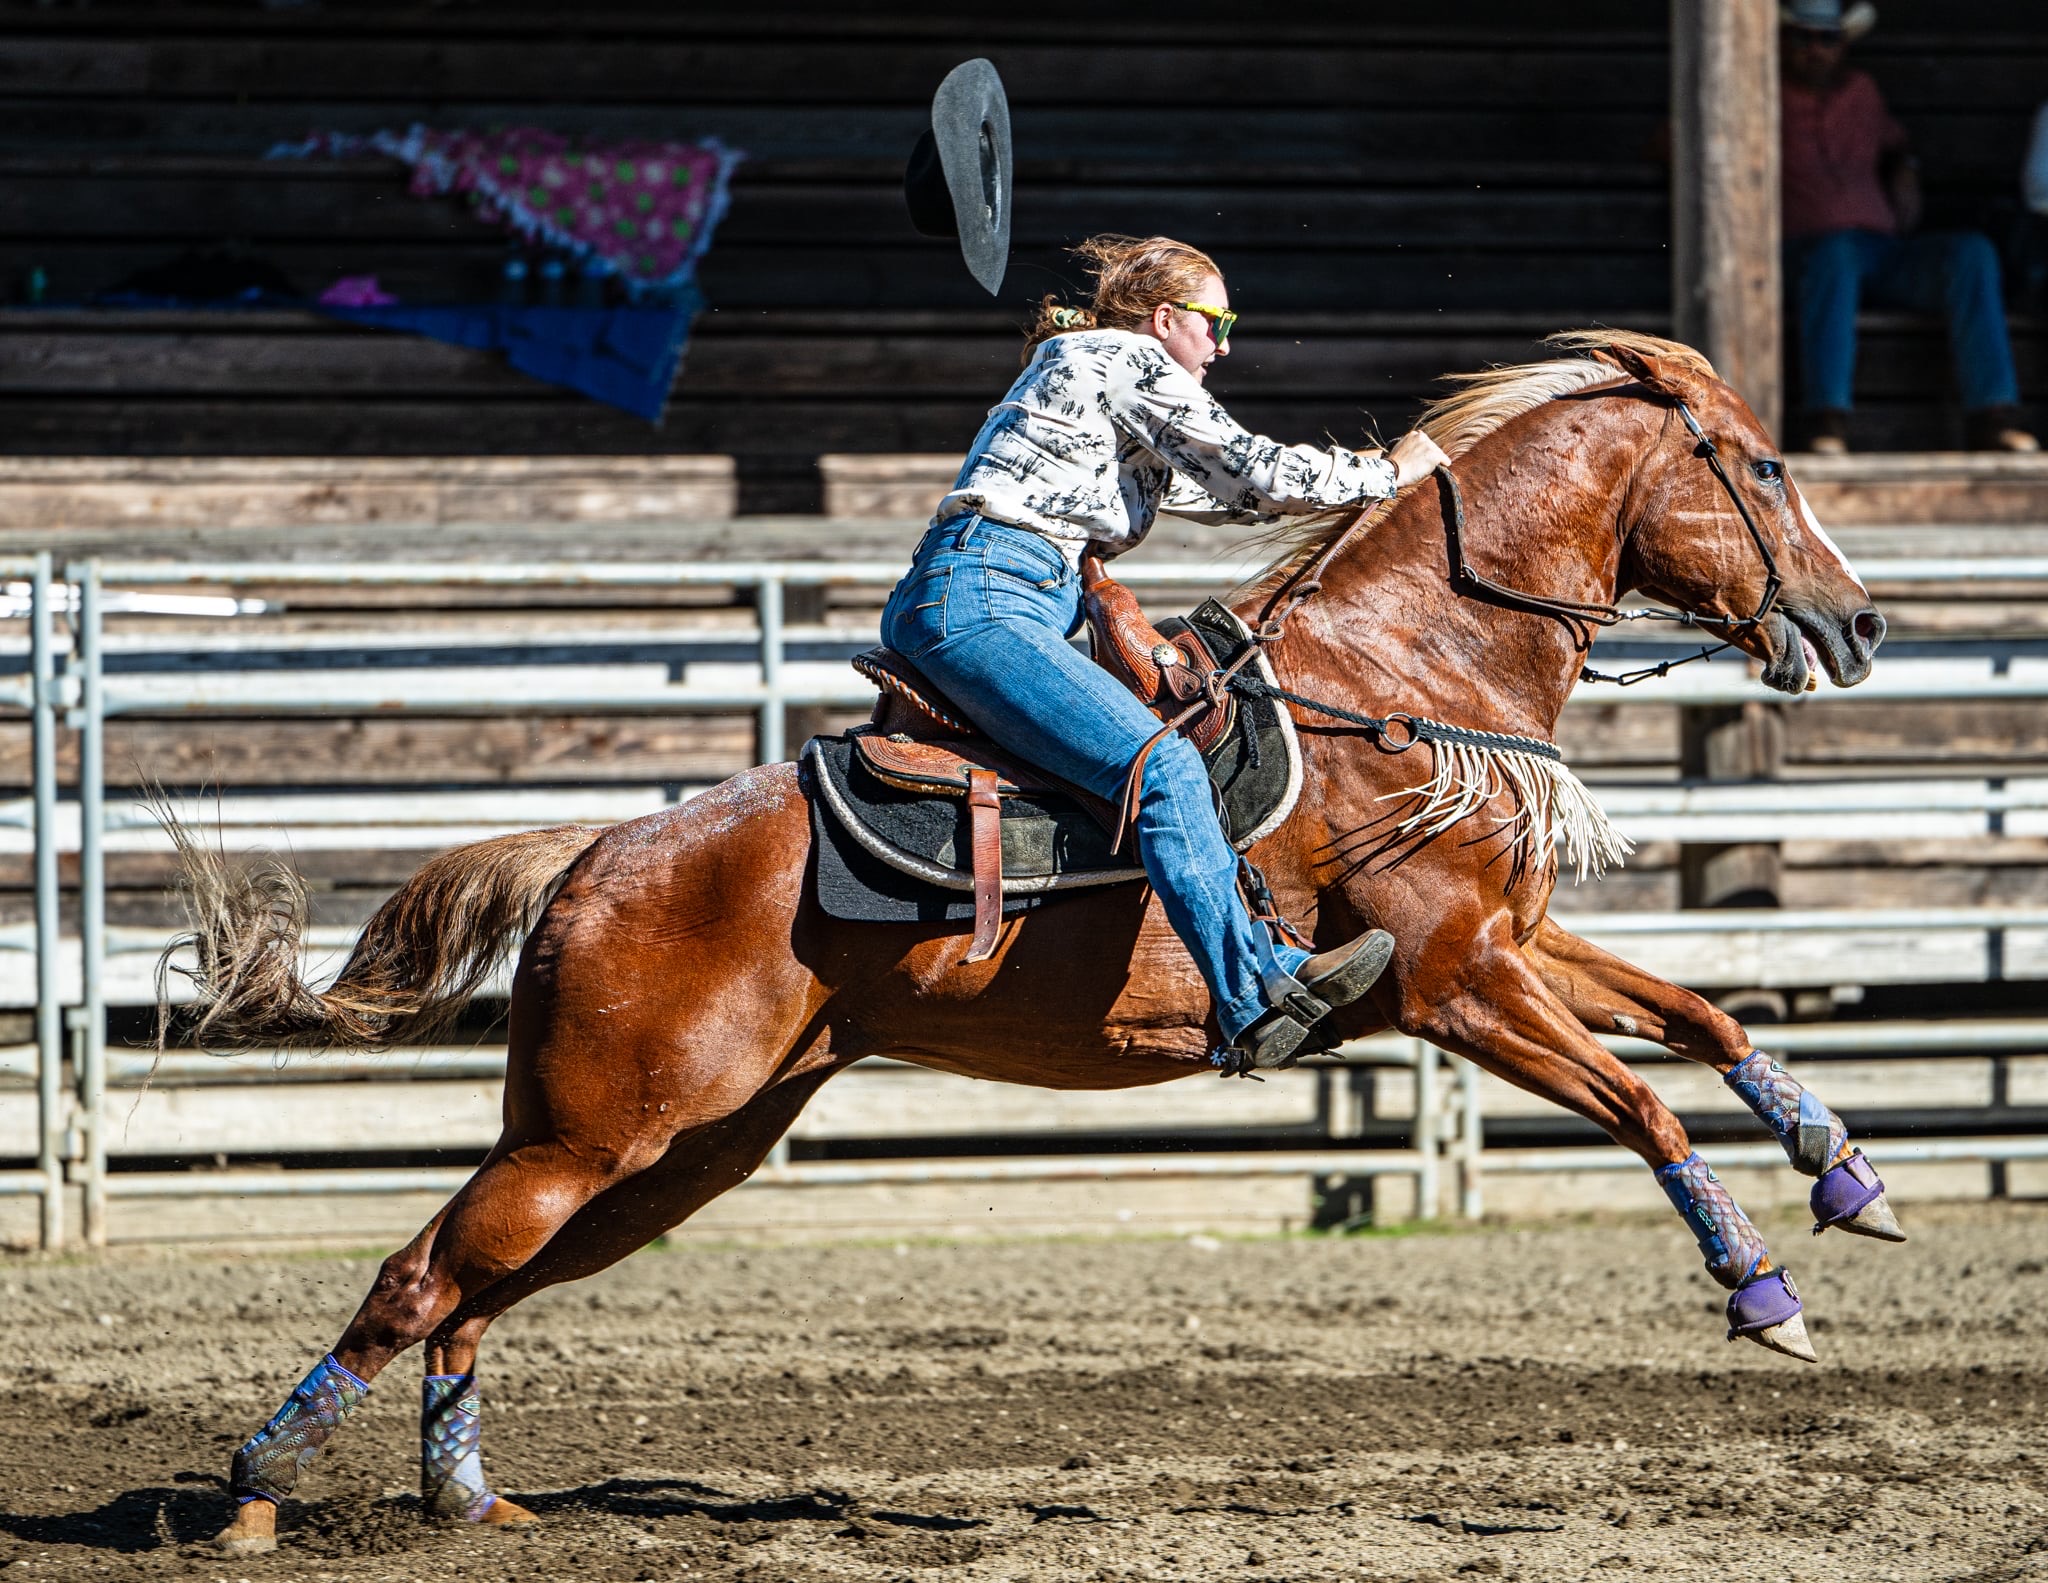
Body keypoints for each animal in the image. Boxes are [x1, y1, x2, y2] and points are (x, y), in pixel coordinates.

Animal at [169, 331, 1893, 1555]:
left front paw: (1847, 1173)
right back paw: (253, 1490)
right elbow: (1645, 1097)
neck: (1401, 676)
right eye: (1759, 463)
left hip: (672, 1148)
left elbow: (1709, 1022)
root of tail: (601, 852)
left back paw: (463, 1503)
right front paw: (1764, 1291)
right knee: (417, 1277)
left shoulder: (1516, 944)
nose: (1863, 621)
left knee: (472, 1293)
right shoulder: (1455, 981)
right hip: (596, 1130)